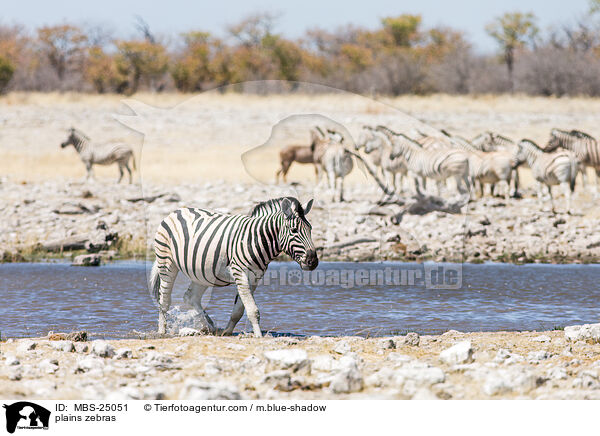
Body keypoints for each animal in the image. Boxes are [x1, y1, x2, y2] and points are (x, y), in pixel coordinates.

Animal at [149, 197, 318, 338]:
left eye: (310, 229)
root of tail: (177, 211)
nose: (313, 261)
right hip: (167, 263)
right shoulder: (240, 272)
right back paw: (162, 330)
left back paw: (209, 327)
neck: (256, 239)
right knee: (164, 299)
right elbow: (253, 310)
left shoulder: (255, 278)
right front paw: (259, 336)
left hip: (202, 272)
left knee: (191, 297)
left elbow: (239, 310)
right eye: (294, 231)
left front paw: (227, 332)